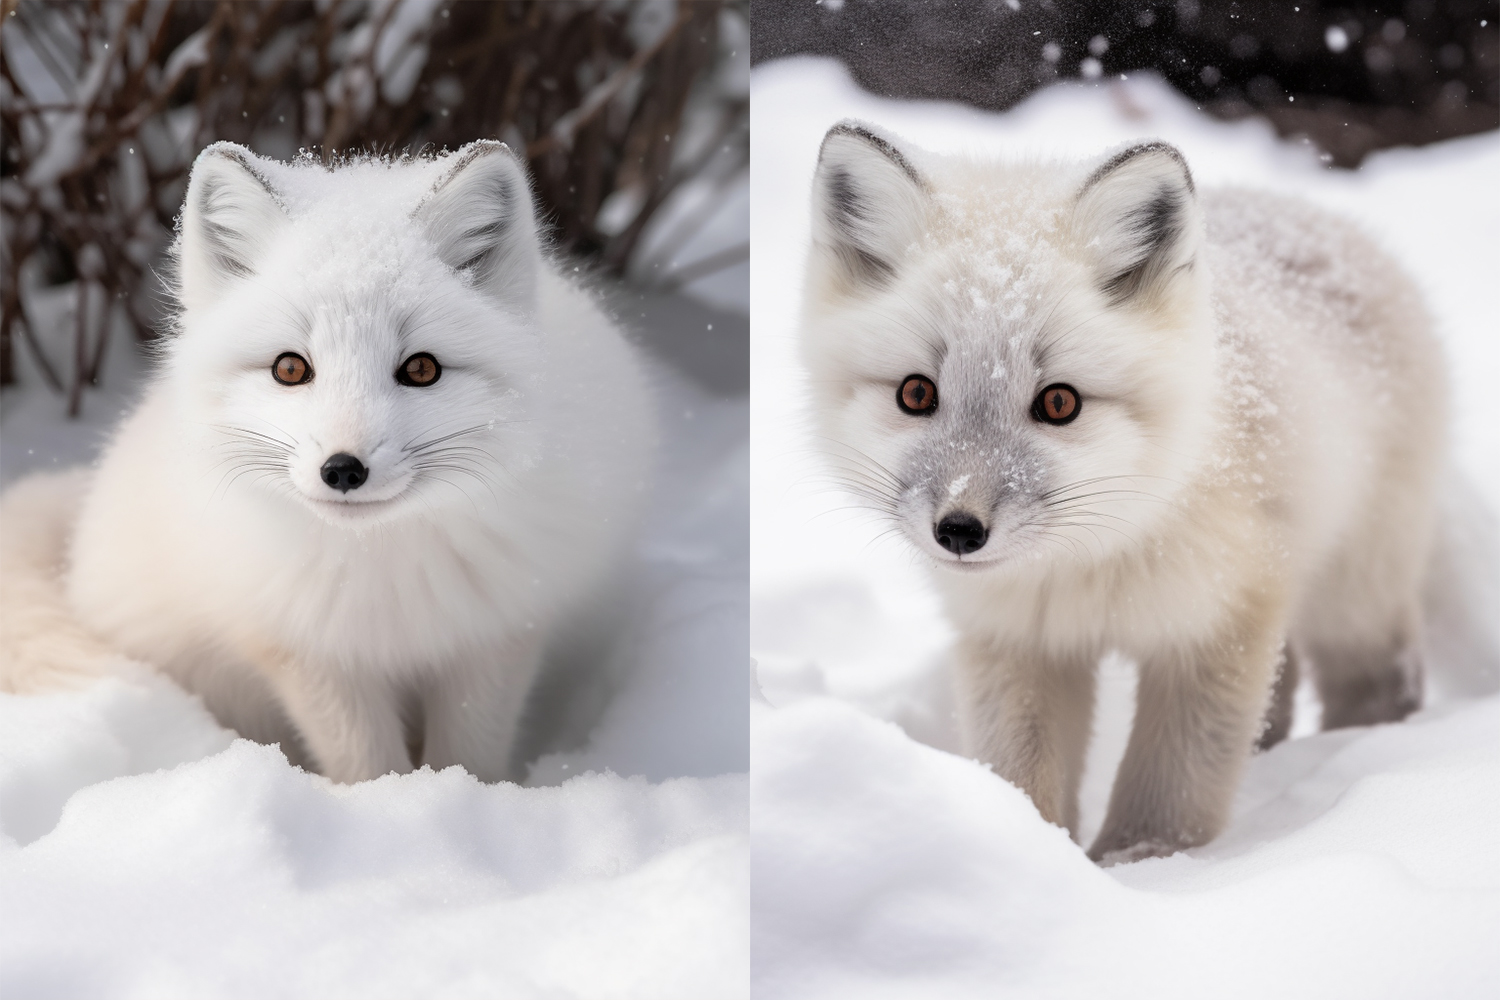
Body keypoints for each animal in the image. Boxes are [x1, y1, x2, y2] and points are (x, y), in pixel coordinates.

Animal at [5, 138, 651, 779]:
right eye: (291, 368)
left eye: (422, 369)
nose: (343, 469)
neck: (385, 569)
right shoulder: (310, 655)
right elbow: (367, 763)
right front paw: (392, 799)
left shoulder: (497, 635)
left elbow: (468, 755)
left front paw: (463, 794)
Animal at [804, 122, 1446, 863]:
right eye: (916, 394)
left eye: (1058, 403)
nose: (960, 531)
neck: (1091, 562)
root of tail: (1313, 214)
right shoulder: (1020, 640)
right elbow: (1022, 776)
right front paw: (1030, 851)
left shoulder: (1213, 626)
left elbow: (1170, 790)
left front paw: (1142, 867)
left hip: (1351, 594)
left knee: (1378, 680)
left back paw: (1352, 752)